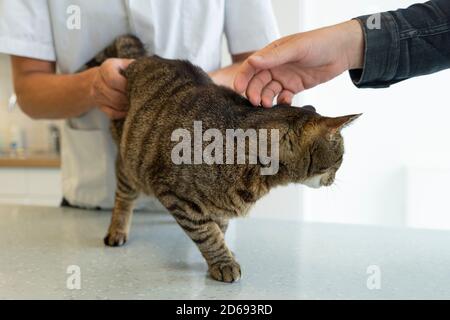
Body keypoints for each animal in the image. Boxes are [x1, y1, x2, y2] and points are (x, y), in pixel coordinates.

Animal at [89, 35, 360, 282]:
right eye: (340, 160)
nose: (334, 179)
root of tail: (144, 57)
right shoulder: (176, 196)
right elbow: (208, 234)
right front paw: (223, 262)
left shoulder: (219, 208)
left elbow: (220, 228)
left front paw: (225, 252)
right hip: (129, 163)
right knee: (123, 197)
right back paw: (117, 230)